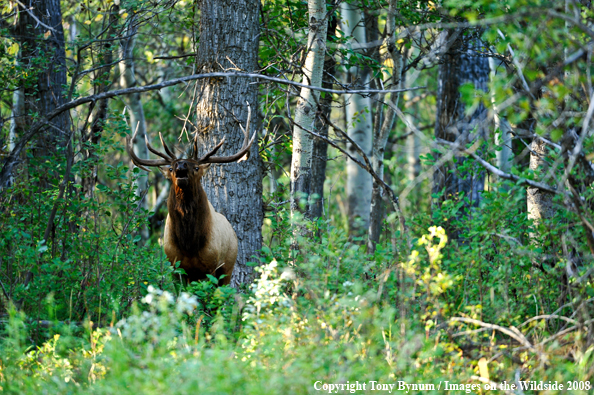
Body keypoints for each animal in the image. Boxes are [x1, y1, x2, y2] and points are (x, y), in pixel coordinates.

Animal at [125, 106, 254, 284]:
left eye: (197, 167)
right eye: (170, 168)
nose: (180, 164)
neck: (188, 244)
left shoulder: (210, 266)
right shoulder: (175, 267)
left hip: (228, 267)